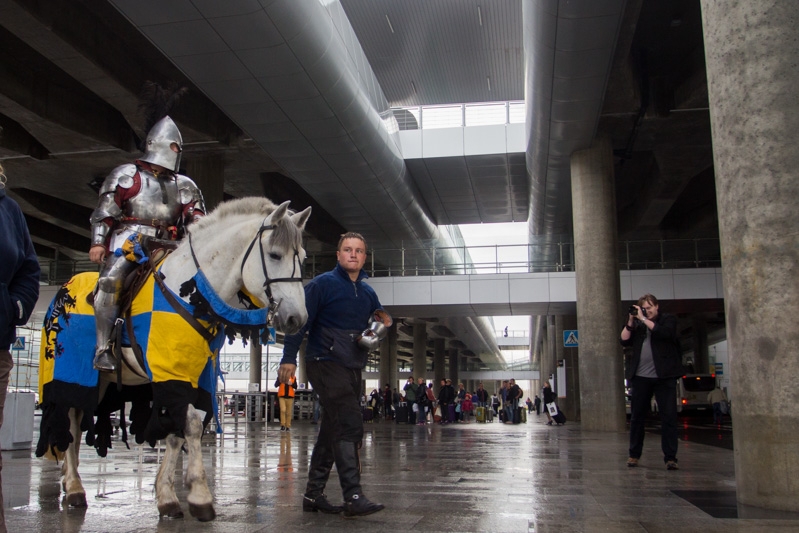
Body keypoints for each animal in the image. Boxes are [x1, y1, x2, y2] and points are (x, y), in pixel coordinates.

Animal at [39, 196, 310, 520]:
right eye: (274, 254)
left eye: (303, 257)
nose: (297, 319)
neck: (192, 293)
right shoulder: (168, 371)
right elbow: (190, 424)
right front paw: (200, 495)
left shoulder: (193, 375)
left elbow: (179, 431)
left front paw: (167, 495)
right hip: (69, 371)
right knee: (69, 419)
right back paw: (75, 488)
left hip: (100, 380)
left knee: (77, 420)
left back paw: (70, 481)